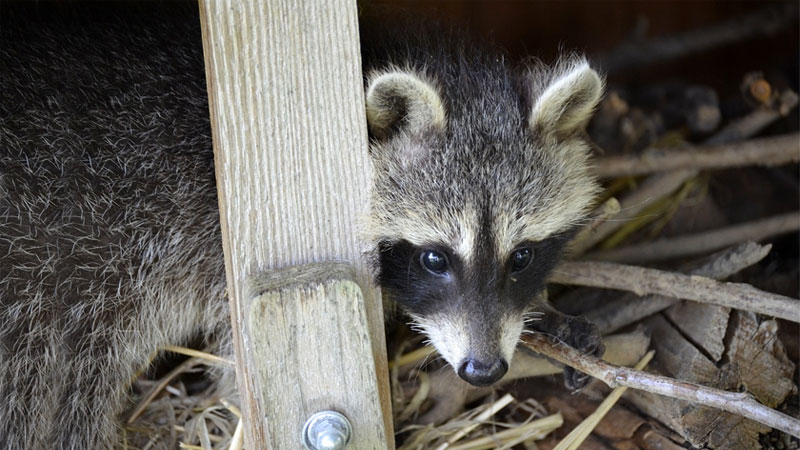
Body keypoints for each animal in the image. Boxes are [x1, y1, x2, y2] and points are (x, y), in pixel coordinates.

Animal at [0, 3, 600, 450]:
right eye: (435, 258)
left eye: (521, 256)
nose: (483, 370)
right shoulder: (206, 250)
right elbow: (236, 370)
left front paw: (548, 314)